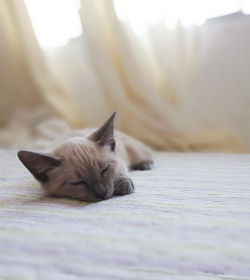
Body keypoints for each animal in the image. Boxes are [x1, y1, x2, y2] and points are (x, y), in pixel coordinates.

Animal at [17, 112, 152, 202]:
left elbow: (121, 172)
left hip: (135, 150)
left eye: (104, 171)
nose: (102, 193)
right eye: (78, 183)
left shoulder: (120, 162)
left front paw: (124, 185)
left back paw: (145, 165)